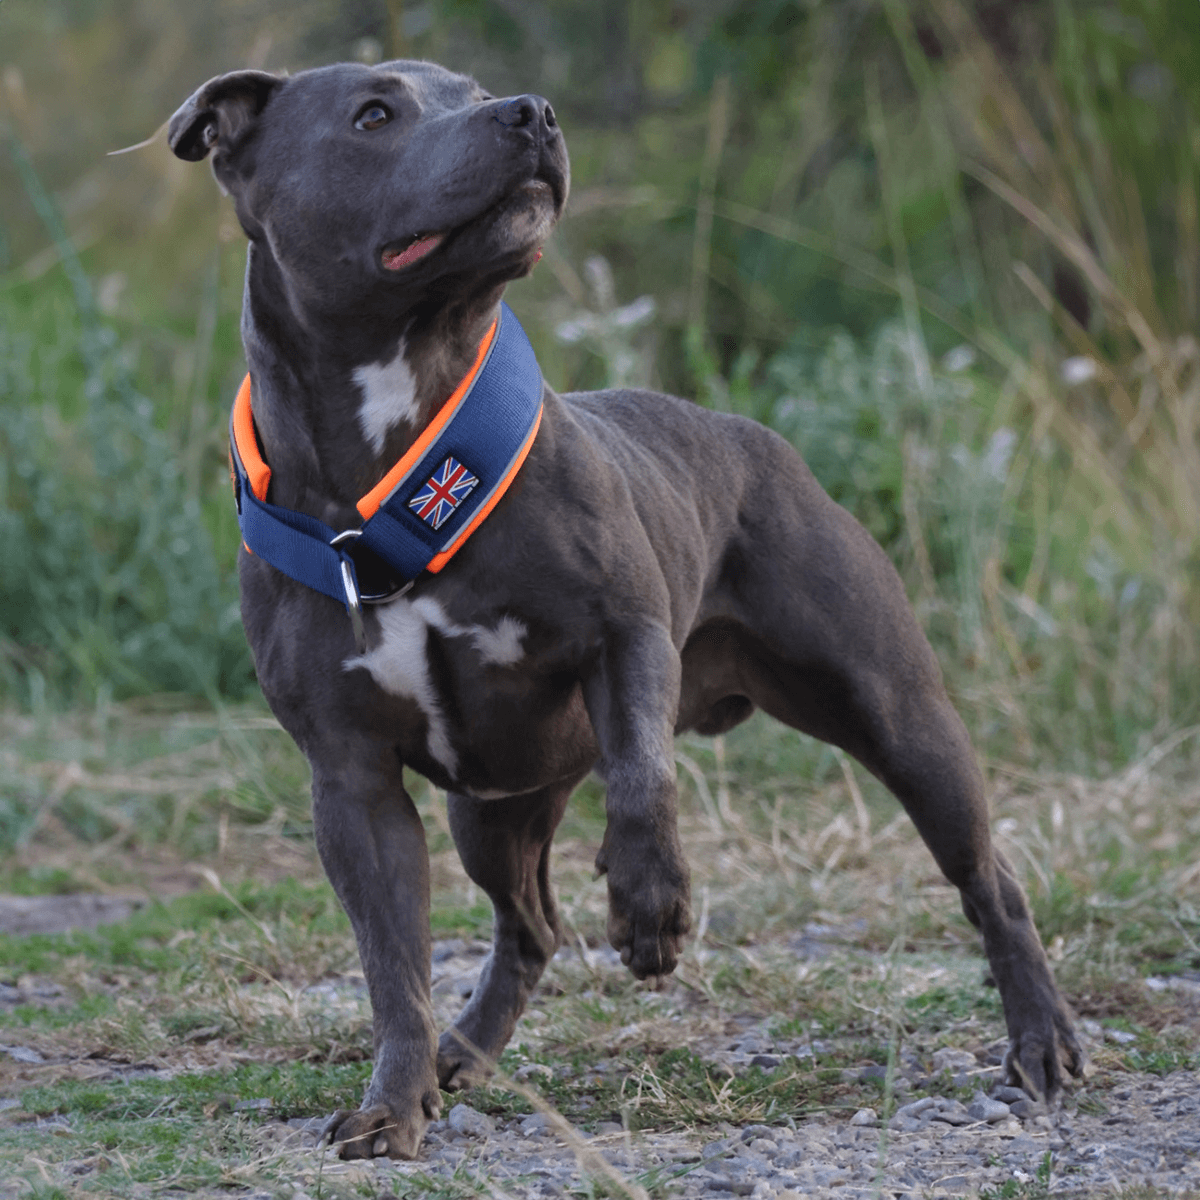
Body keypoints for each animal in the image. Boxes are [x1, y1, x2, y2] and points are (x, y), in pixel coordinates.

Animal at [166, 60, 1080, 1156]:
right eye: (374, 114)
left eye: (470, 86)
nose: (529, 112)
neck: (397, 458)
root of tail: (758, 437)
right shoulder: (352, 783)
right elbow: (392, 966)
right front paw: (394, 1103)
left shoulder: (626, 636)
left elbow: (645, 774)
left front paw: (651, 906)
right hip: (493, 810)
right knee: (529, 928)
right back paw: (460, 1053)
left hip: (900, 717)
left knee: (989, 875)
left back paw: (1041, 1040)